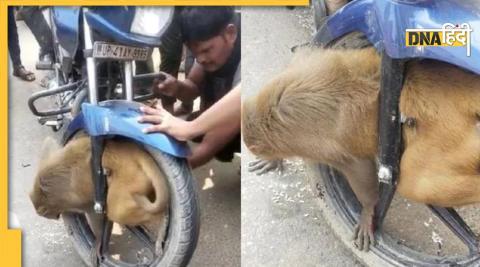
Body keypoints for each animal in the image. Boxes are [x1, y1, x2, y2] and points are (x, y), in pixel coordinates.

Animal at [29, 136, 169, 228]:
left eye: (48, 215)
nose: (56, 217)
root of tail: (133, 151)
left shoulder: (75, 201)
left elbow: (93, 211)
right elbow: (49, 142)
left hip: (130, 178)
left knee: (116, 210)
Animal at [242, 46, 480, 253]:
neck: (273, 111)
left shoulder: (319, 145)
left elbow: (358, 167)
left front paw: (367, 213)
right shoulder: (298, 64)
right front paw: (273, 160)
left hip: (450, 136)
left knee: (414, 181)